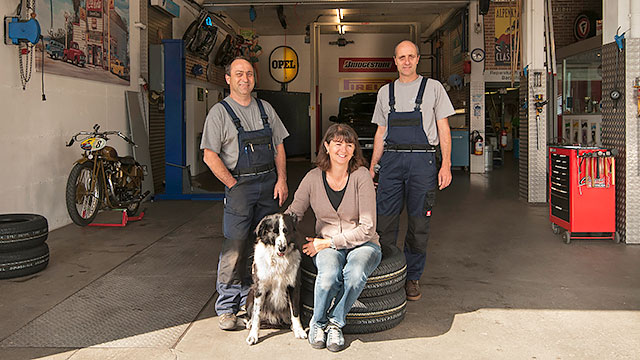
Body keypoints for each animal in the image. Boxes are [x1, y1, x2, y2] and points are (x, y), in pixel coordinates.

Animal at [244, 212, 306, 344]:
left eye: (286, 231)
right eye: (274, 231)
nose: (282, 248)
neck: (278, 259)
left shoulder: (294, 286)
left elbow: (295, 311)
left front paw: (299, 330)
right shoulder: (260, 288)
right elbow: (256, 314)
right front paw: (253, 335)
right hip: (250, 295)